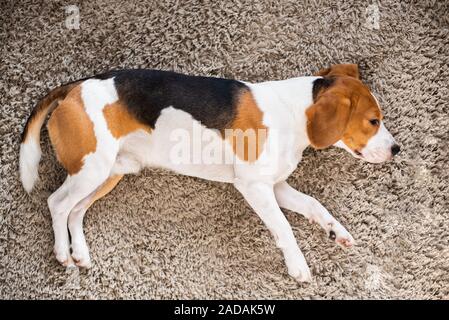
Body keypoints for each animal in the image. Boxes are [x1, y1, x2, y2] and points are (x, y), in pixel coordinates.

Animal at [20, 63, 400, 282]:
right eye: (373, 121)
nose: (396, 149)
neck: (293, 112)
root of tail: (77, 86)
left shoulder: (275, 186)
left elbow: (313, 205)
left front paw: (336, 231)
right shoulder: (254, 187)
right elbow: (284, 228)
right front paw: (298, 266)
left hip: (108, 174)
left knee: (75, 211)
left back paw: (80, 252)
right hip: (92, 168)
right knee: (57, 204)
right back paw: (62, 252)